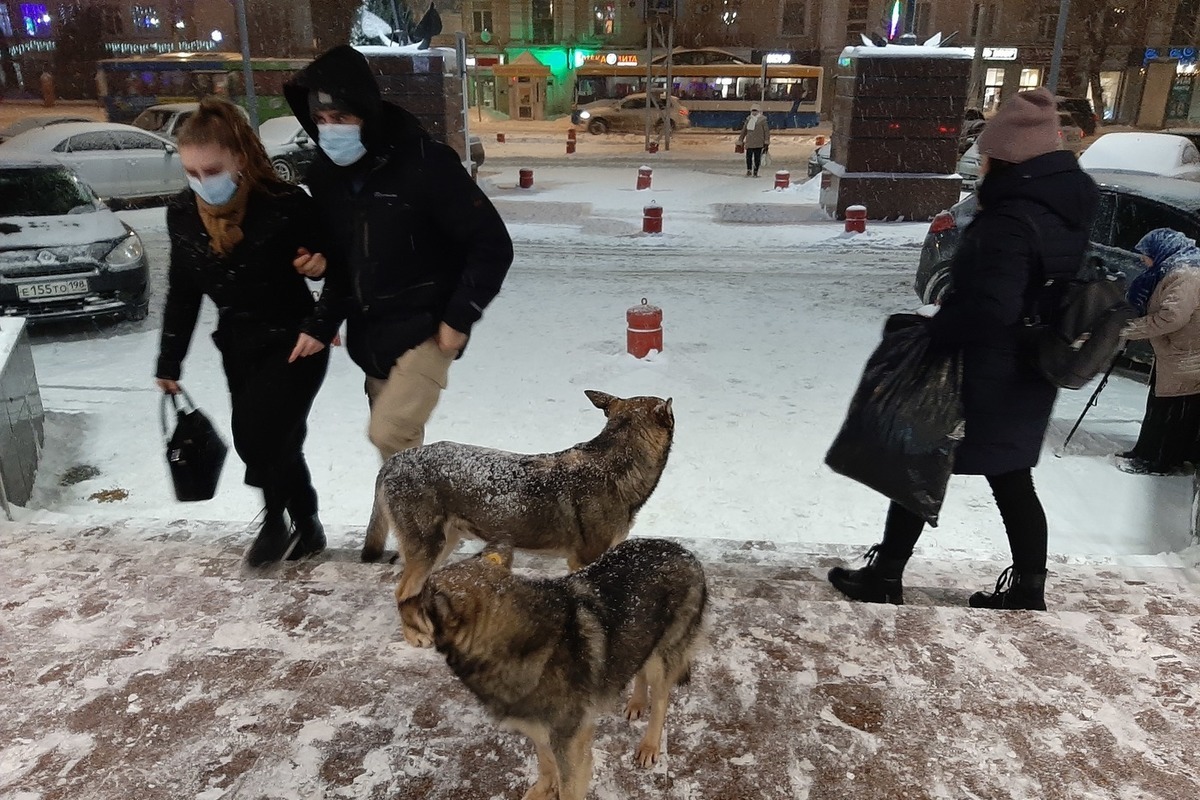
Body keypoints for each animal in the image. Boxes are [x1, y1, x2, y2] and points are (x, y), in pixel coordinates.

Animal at [362, 391, 676, 647]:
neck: (614, 467)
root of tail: (394, 461)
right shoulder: (585, 559)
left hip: (443, 545)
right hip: (429, 549)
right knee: (402, 593)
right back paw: (414, 635)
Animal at [420, 537, 705, 800]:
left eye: (420, 599)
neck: (524, 641)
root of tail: (684, 552)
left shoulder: (571, 743)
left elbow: (567, 783)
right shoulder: (538, 727)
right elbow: (546, 765)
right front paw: (544, 790)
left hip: (662, 658)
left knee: (661, 701)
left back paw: (649, 745)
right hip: (641, 640)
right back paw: (636, 703)